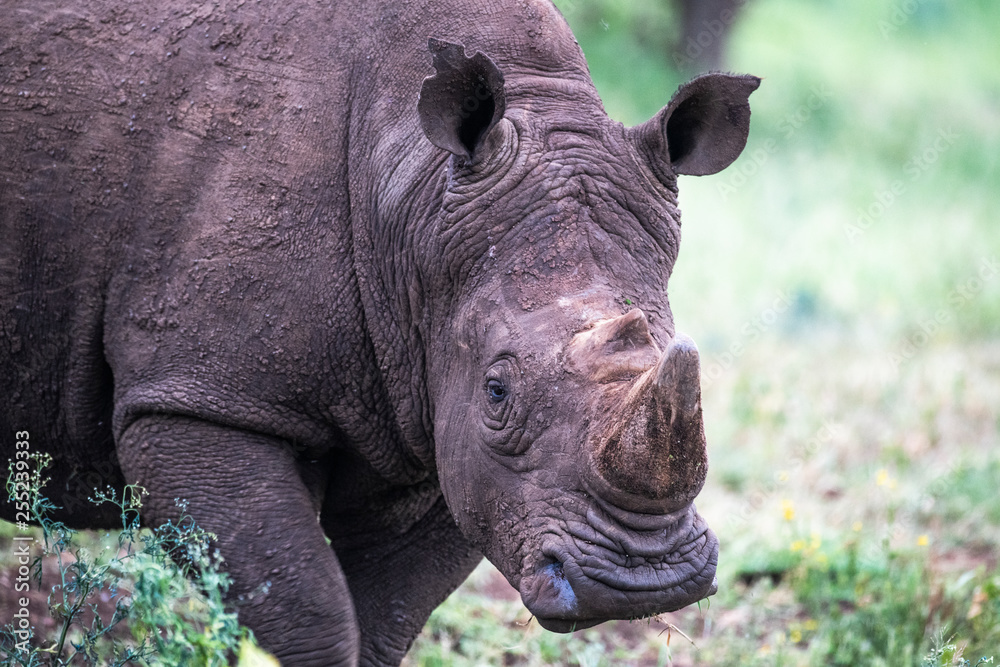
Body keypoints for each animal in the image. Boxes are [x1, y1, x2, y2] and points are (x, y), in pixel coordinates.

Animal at [0, 0, 758, 664]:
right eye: (497, 391)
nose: (644, 582)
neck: (411, 197)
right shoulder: (199, 402)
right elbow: (311, 614)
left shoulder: (436, 426)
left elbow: (385, 619)